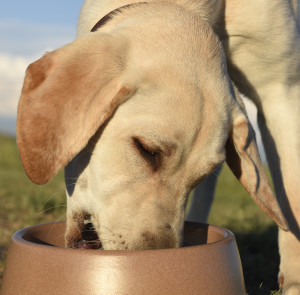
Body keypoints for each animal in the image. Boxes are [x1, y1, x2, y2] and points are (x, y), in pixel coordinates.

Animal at [17, 1, 300, 294]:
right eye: (147, 150)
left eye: (197, 177)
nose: (157, 260)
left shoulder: (282, 91)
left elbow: (292, 195)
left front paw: (294, 281)